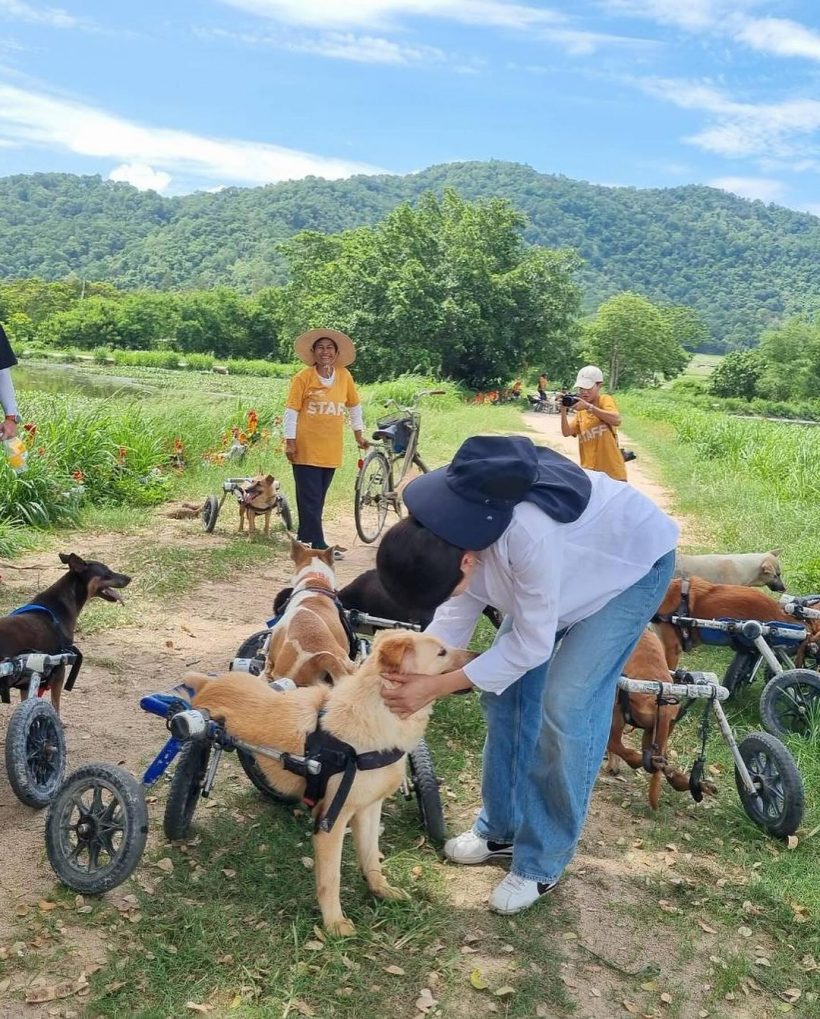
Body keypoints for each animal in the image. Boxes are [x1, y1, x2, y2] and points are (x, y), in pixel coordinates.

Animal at [182, 631, 470, 933]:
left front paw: (380, 889)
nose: (475, 656)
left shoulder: (369, 809)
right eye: (441, 652)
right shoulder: (330, 822)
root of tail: (209, 683)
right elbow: (331, 879)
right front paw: (334, 924)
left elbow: (371, 857)